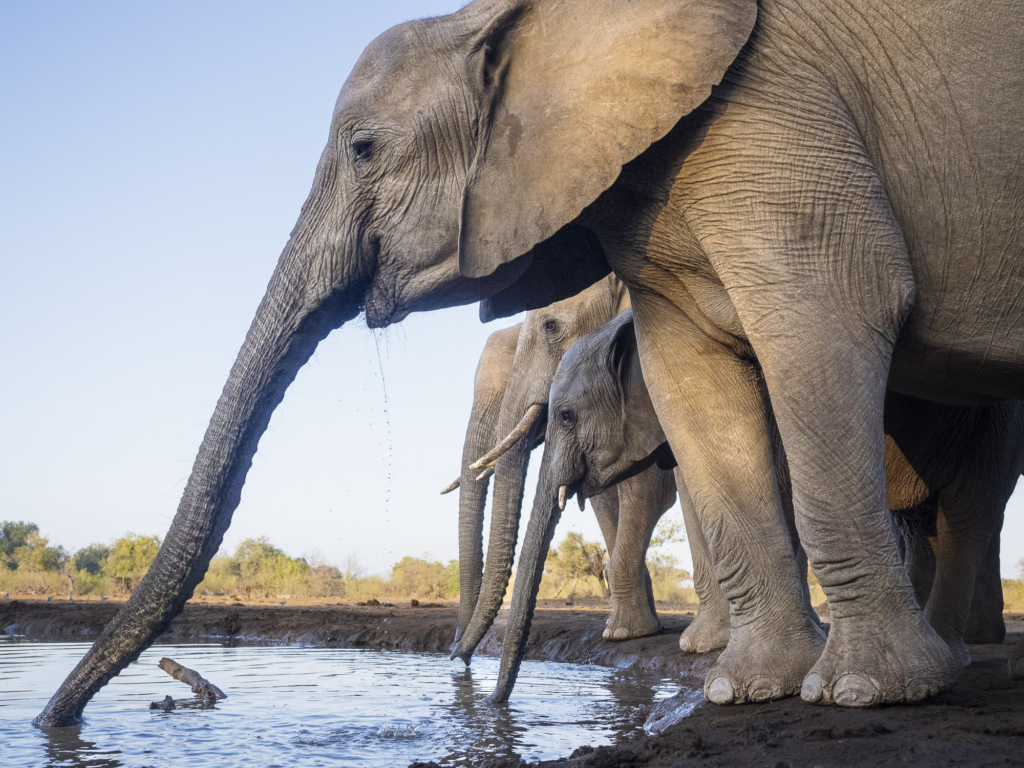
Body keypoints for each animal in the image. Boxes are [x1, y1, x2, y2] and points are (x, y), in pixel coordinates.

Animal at [36, 0, 1024, 729]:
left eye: (362, 149)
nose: (57, 722)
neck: (526, 21)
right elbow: (695, 386)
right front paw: (746, 689)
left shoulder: (778, 117)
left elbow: (825, 321)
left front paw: (863, 694)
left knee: (975, 490)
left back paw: (958, 656)